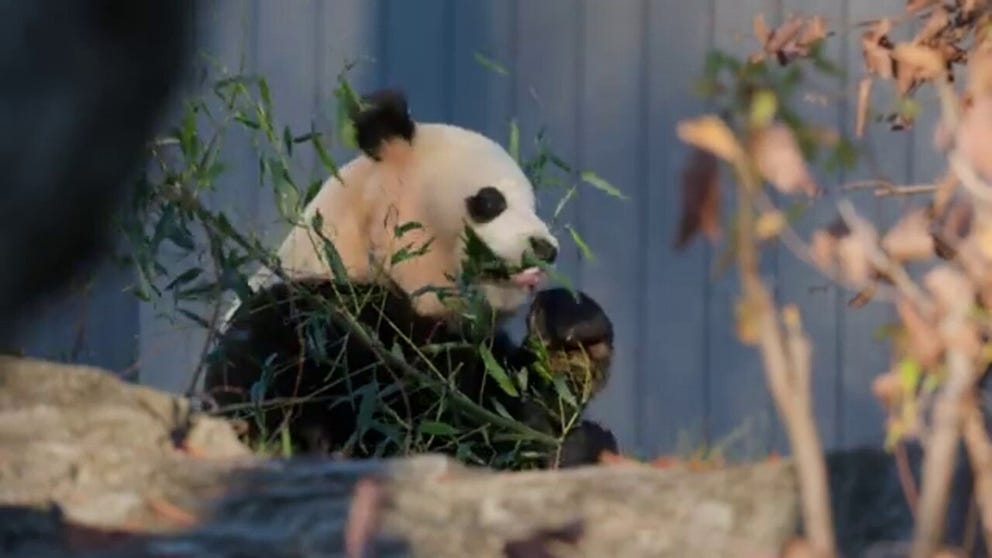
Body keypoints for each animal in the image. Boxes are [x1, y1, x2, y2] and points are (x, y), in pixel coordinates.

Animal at [204, 89, 616, 470]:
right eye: (491, 201)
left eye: (532, 206)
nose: (545, 249)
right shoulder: (305, 325)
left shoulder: (471, 347)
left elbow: (515, 388)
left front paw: (573, 331)